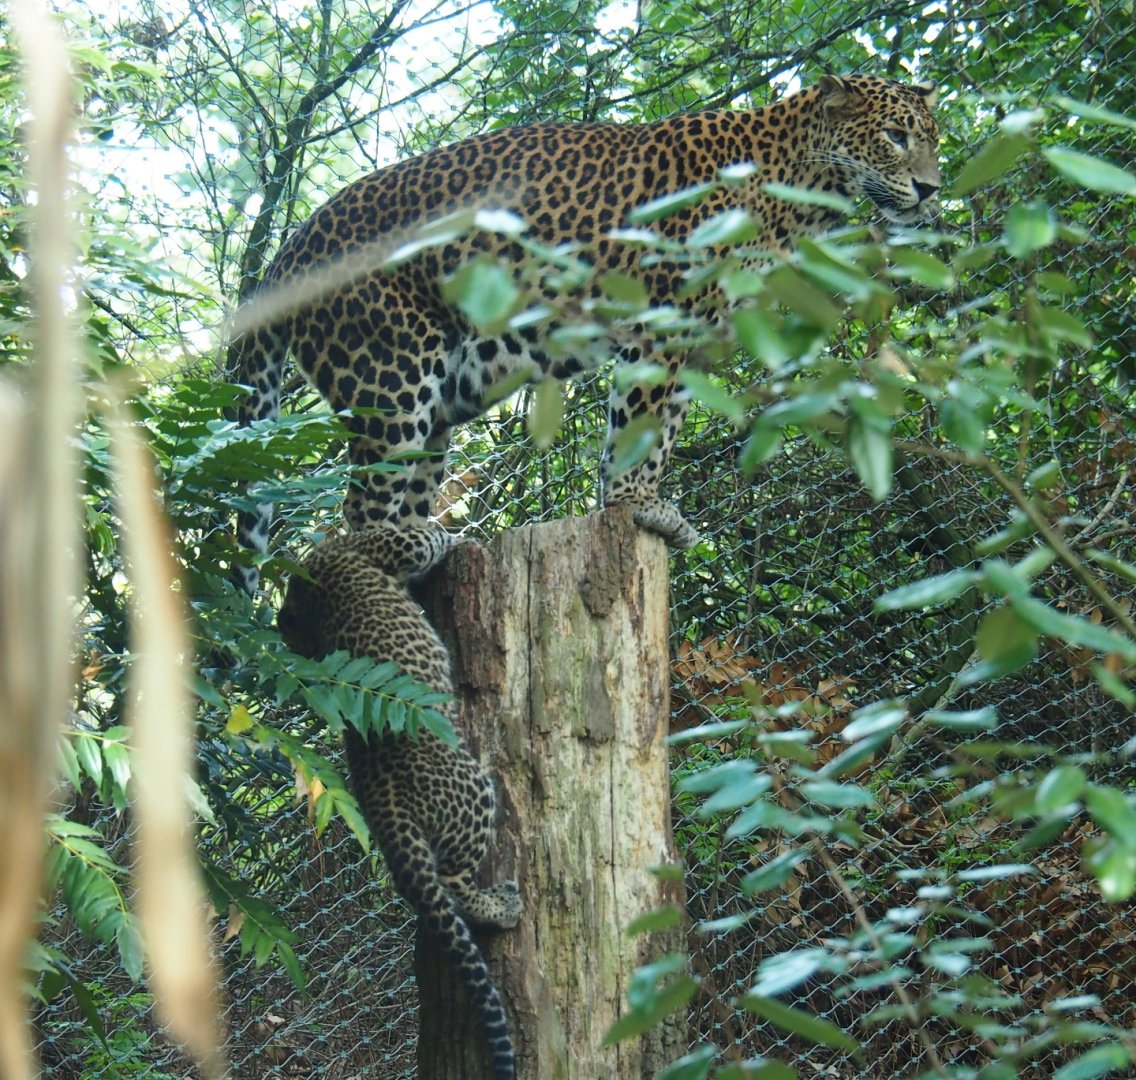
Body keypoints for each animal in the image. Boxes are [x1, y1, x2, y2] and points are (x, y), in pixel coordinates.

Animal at [235, 74, 940, 590]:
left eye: (931, 138)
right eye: (895, 136)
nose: (932, 188)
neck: (798, 187)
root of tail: (292, 246)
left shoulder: (695, 332)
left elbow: (659, 425)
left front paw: (643, 503)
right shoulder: (663, 317)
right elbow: (640, 419)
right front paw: (634, 503)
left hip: (444, 394)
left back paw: (432, 547)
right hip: (391, 371)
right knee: (357, 513)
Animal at [276, 524, 522, 1080]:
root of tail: (378, 793)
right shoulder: (393, 544)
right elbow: (429, 538)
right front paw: (459, 536)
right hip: (473, 786)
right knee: (452, 885)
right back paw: (498, 906)